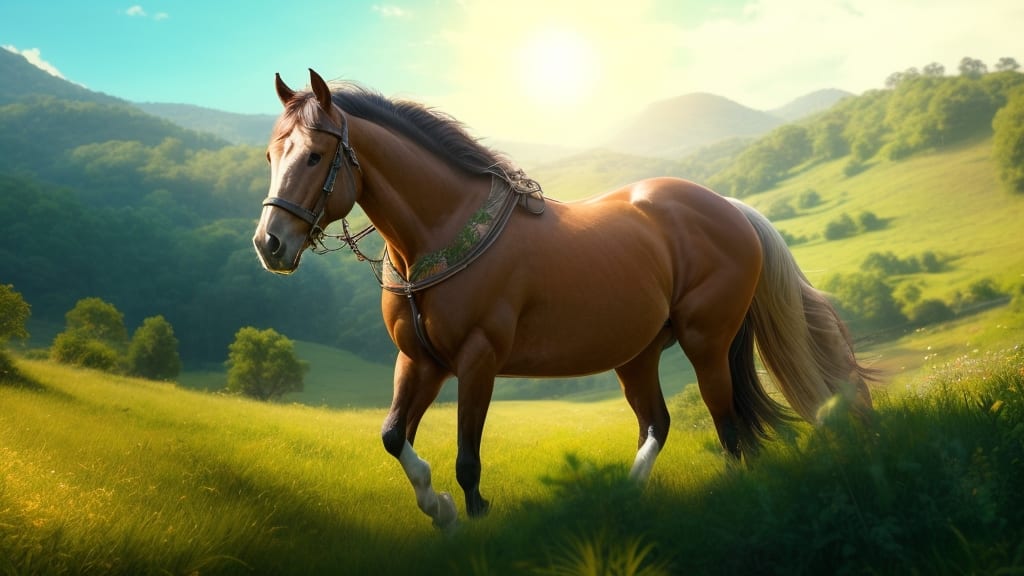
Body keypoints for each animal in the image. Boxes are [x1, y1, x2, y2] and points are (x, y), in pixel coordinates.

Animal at [253, 69, 874, 529]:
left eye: (314, 156)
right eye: (271, 156)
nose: (269, 244)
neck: (442, 229)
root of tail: (730, 207)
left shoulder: (477, 361)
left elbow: (467, 459)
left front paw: (473, 516)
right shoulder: (421, 361)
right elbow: (392, 437)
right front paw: (440, 511)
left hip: (706, 344)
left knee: (728, 427)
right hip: (637, 356)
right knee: (658, 424)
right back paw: (621, 504)